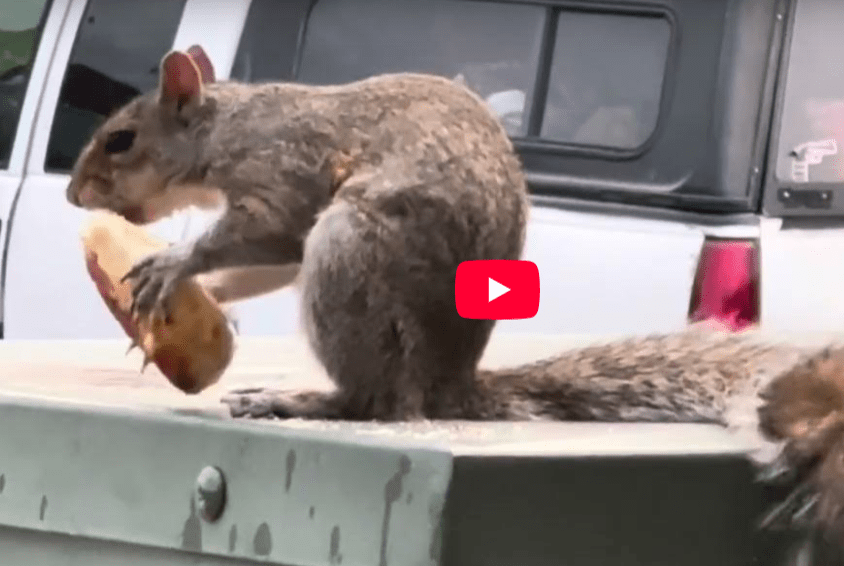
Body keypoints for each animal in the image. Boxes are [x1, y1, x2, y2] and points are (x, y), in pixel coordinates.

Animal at [65, 45, 844, 545]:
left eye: (120, 139)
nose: (74, 193)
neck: (228, 126)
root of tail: (451, 383)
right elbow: (269, 263)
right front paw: (207, 299)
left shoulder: (282, 176)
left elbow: (270, 232)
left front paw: (175, 263)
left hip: (350, 252)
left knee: (377, 404)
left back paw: (300, 399)